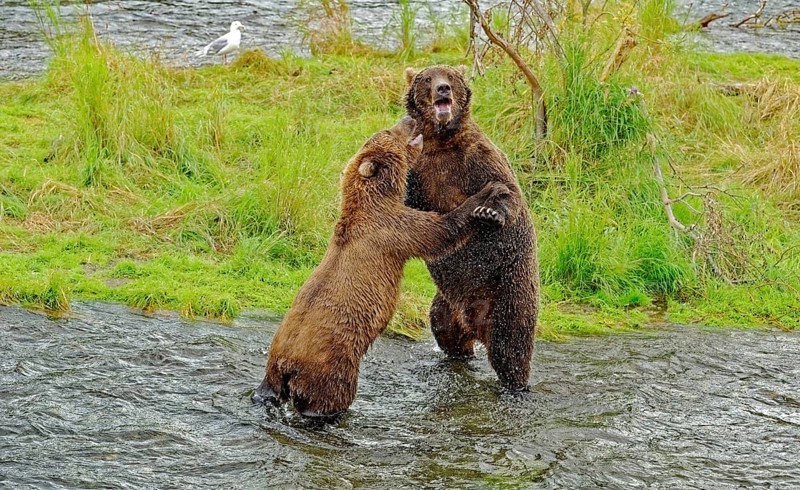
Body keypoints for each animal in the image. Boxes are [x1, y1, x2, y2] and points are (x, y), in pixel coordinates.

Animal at [253, 117, 509, 417]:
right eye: (388, 131)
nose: (409, 119)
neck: (374, 198)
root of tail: (284, 365)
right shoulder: (393, 229)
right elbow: (440, 231)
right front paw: (487, 195)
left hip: (276, 367)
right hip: (331, 368)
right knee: (331, 396)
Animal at [403, 65, 540, 392]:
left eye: (451, 77)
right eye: (427, 78)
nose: (442, 89)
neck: (441, 140)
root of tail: (476, 326)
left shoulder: (477, 158)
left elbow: (506, 189)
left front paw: (488, 211)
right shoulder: (422, 168)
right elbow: (412, 200)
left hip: (509, 292)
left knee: (511, 348)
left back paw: (516, 387)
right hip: (446, 305)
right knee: (445, 331)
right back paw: (458, 355)